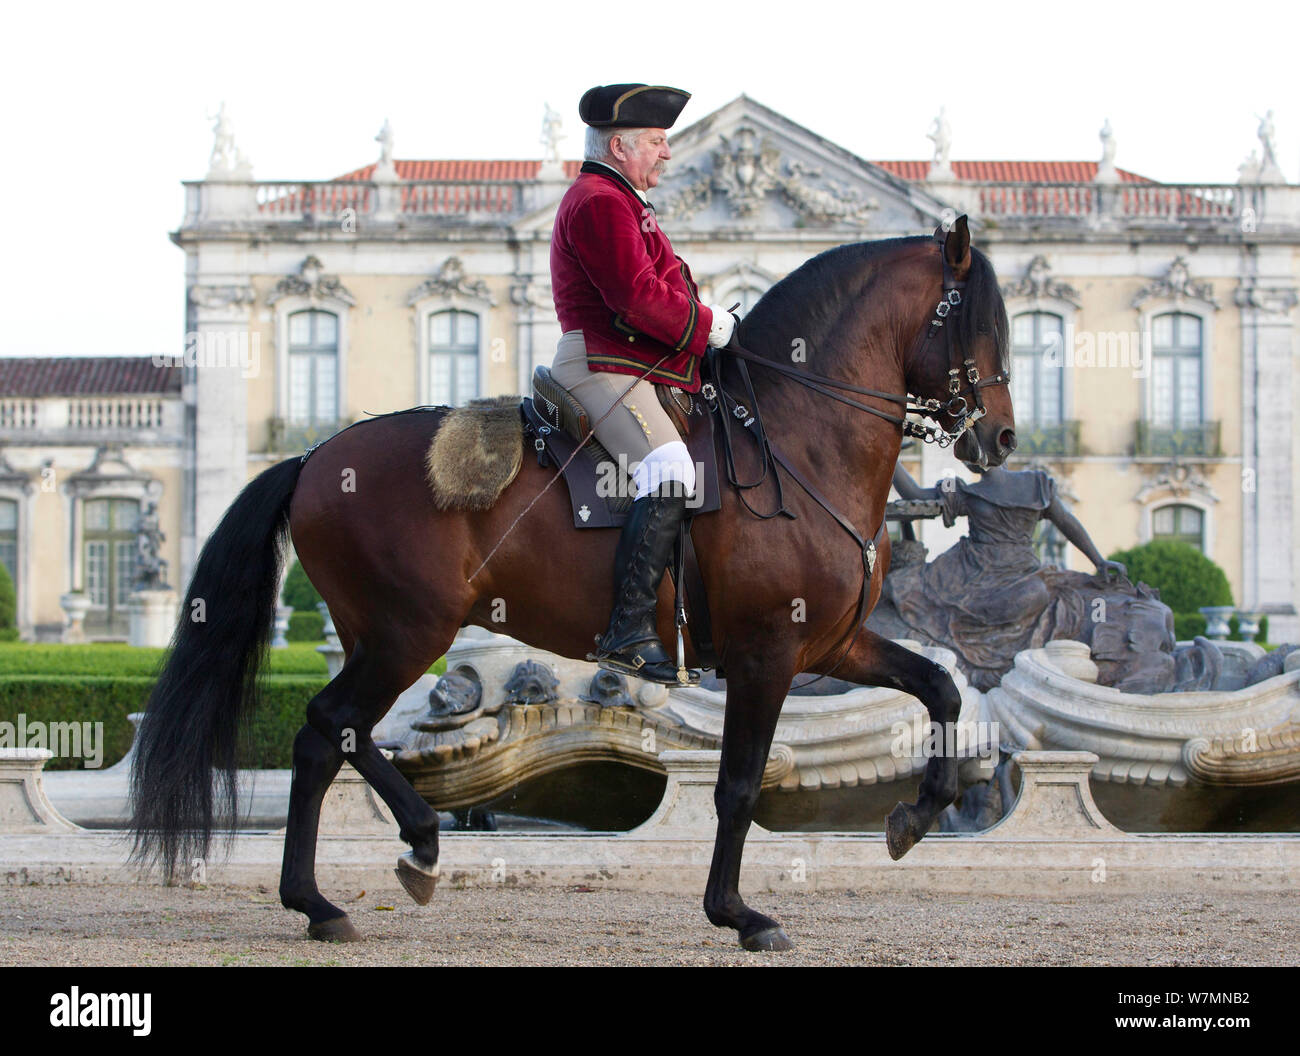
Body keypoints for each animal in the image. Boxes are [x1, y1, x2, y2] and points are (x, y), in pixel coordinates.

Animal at [130, 216, 1016, 952]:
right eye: (978, 321)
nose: (1003, 438)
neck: (796, 438)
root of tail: (315, 456)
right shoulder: (768, 655)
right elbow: (737, 786)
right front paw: (738, 914)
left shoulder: (830, 645)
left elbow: (940, 689)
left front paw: (916, 814)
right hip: (407, 633)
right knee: (329, 724)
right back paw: (402, 848)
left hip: (380, 636)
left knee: (325, 740)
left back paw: (333, 893)